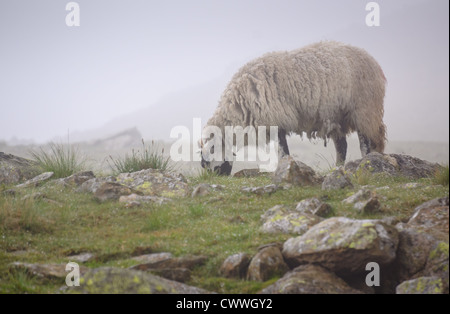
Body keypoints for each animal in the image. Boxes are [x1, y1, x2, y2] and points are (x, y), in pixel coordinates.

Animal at [200, 40, 386, 175]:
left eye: (207, 161)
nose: (218, 177)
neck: (240, 107)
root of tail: (371, 59)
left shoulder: (277, 119)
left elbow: (283, 150)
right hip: (336, 116)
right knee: (342, 146)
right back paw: (337, 167)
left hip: (364, 108)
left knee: (365, 142)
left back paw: (365, 162)